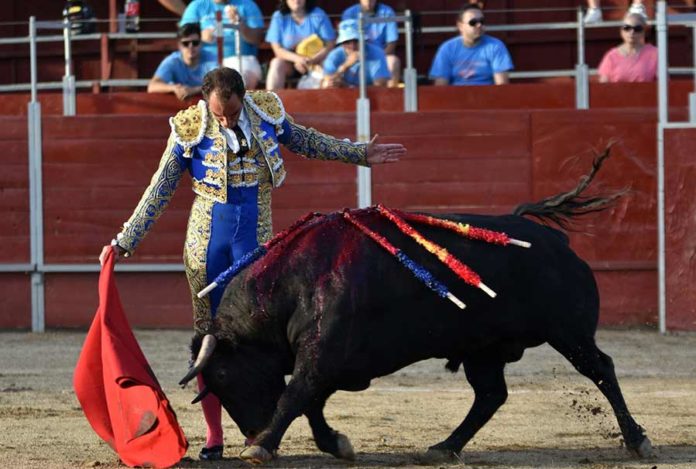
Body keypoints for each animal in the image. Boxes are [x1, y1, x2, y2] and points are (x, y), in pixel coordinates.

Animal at [179, 150, 652, 460]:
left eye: (224, 374)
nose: (249, 431)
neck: (292, 285)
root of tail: (556, 241)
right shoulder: (326, 360)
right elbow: (308, 401)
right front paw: (334, 443)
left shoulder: (322, 355)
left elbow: (296, 394)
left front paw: (263, 447)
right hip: (483, 348)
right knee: (490, 395)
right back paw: (443, 447)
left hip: (568, 332)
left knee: (601, 370)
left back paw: (637, 440)